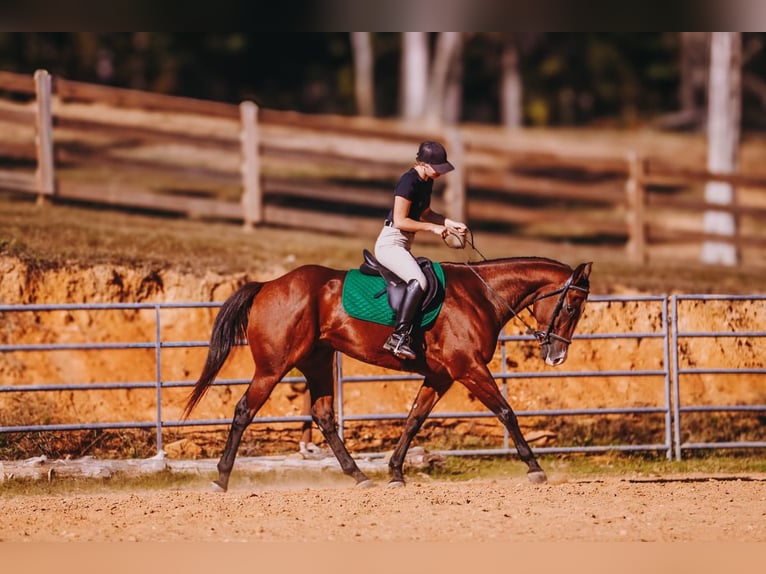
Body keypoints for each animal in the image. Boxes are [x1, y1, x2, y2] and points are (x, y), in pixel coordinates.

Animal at [183, 255, 592, 492]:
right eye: (572, 305)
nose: (556, 355)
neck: (480, 294)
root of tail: (268, 285)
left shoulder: (442, 375)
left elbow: (413, 420)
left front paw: (395, 472)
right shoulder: (468, 367)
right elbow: (506, 411)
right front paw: (534, 468)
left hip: (317, 362)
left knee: (323, 415)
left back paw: (359, 476)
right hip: (273, 368)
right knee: (244, 411)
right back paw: (221, 477)